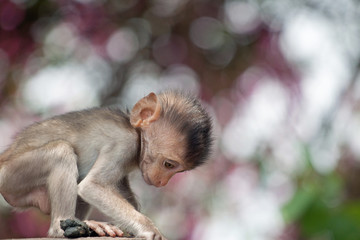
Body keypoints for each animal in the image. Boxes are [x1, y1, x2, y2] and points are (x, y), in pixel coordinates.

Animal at [0, 91, 211, 239]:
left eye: (178, 170)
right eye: (169, 165)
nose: (162, 182)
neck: (135, 133)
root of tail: (4, 157)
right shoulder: (124, 143)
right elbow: (92, 186)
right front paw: (149, 229)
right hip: (12, 174)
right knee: (61, 152)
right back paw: (61, 228)